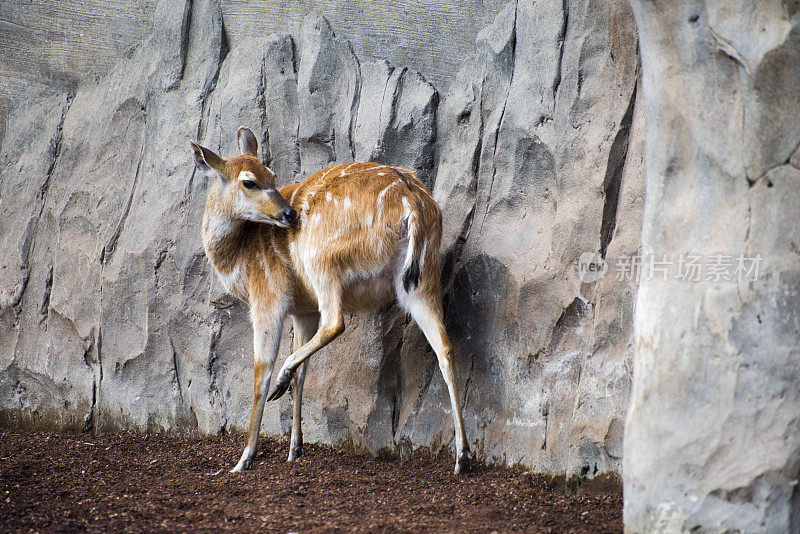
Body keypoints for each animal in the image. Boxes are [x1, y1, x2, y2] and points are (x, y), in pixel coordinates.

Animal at [191, 129, 472, 474]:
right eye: (250, 181)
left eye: (270, 175)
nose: (288, 214)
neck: (239, 260)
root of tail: (413, 206)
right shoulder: (303, 309)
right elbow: (303, 372)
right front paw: (294, 448)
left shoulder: (268, 296)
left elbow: (261, 371)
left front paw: (244, 459)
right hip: (422, 279)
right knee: (445, 348)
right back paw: (462, 457)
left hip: (323, 261)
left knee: (335, 322)